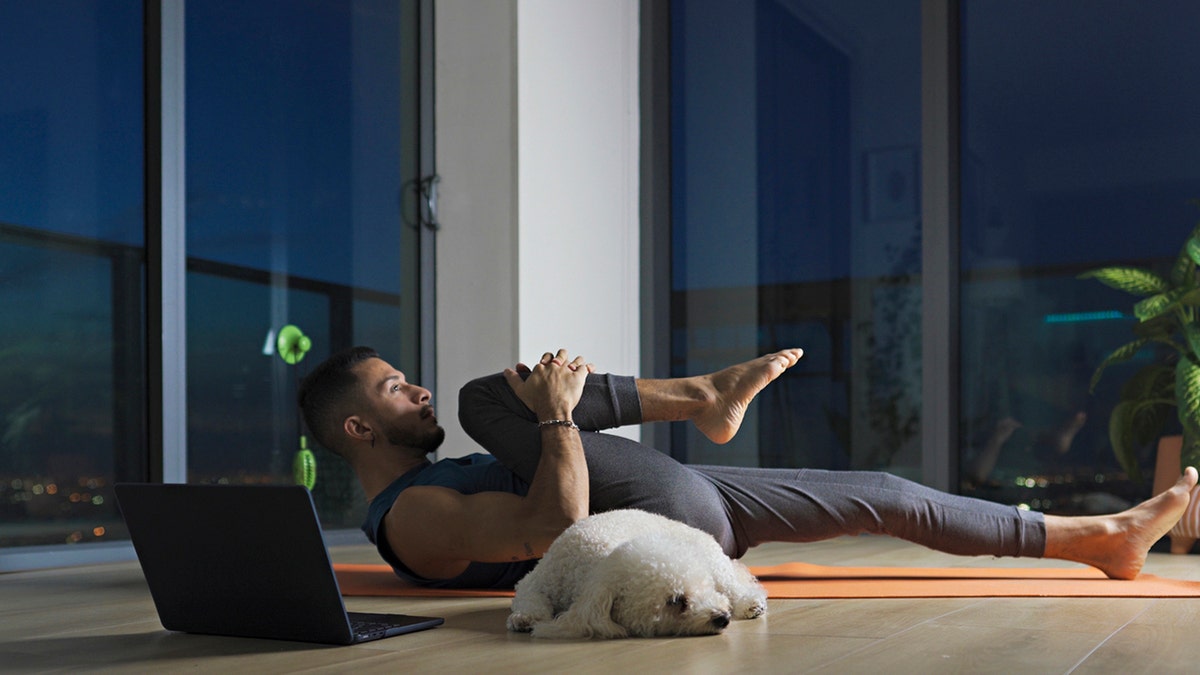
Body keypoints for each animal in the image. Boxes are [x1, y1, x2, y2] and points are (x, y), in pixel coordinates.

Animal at [506, 506, 768, 638]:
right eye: (675, 601)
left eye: (706, 588)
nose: (723, 618)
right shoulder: (535, 581)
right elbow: (529, 598)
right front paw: (525, 617)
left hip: (714, 562)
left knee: (735, 587)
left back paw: (750, 604)